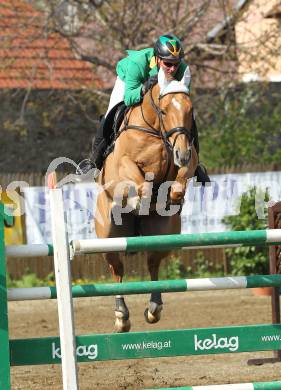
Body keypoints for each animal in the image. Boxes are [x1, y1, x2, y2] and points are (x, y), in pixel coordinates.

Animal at [95, 75, 198, 332]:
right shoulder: (124, 163)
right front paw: (138, 199)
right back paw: (121, 316)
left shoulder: (189, 161)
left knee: (153, 263)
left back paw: (154, 308)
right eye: (163, 110)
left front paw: (171, 198)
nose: (182, 154)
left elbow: (179, 181)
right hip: (109, 238)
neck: (155, 132)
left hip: (162, 235)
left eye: (190, 111)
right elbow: (141, 183)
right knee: (117, 269)